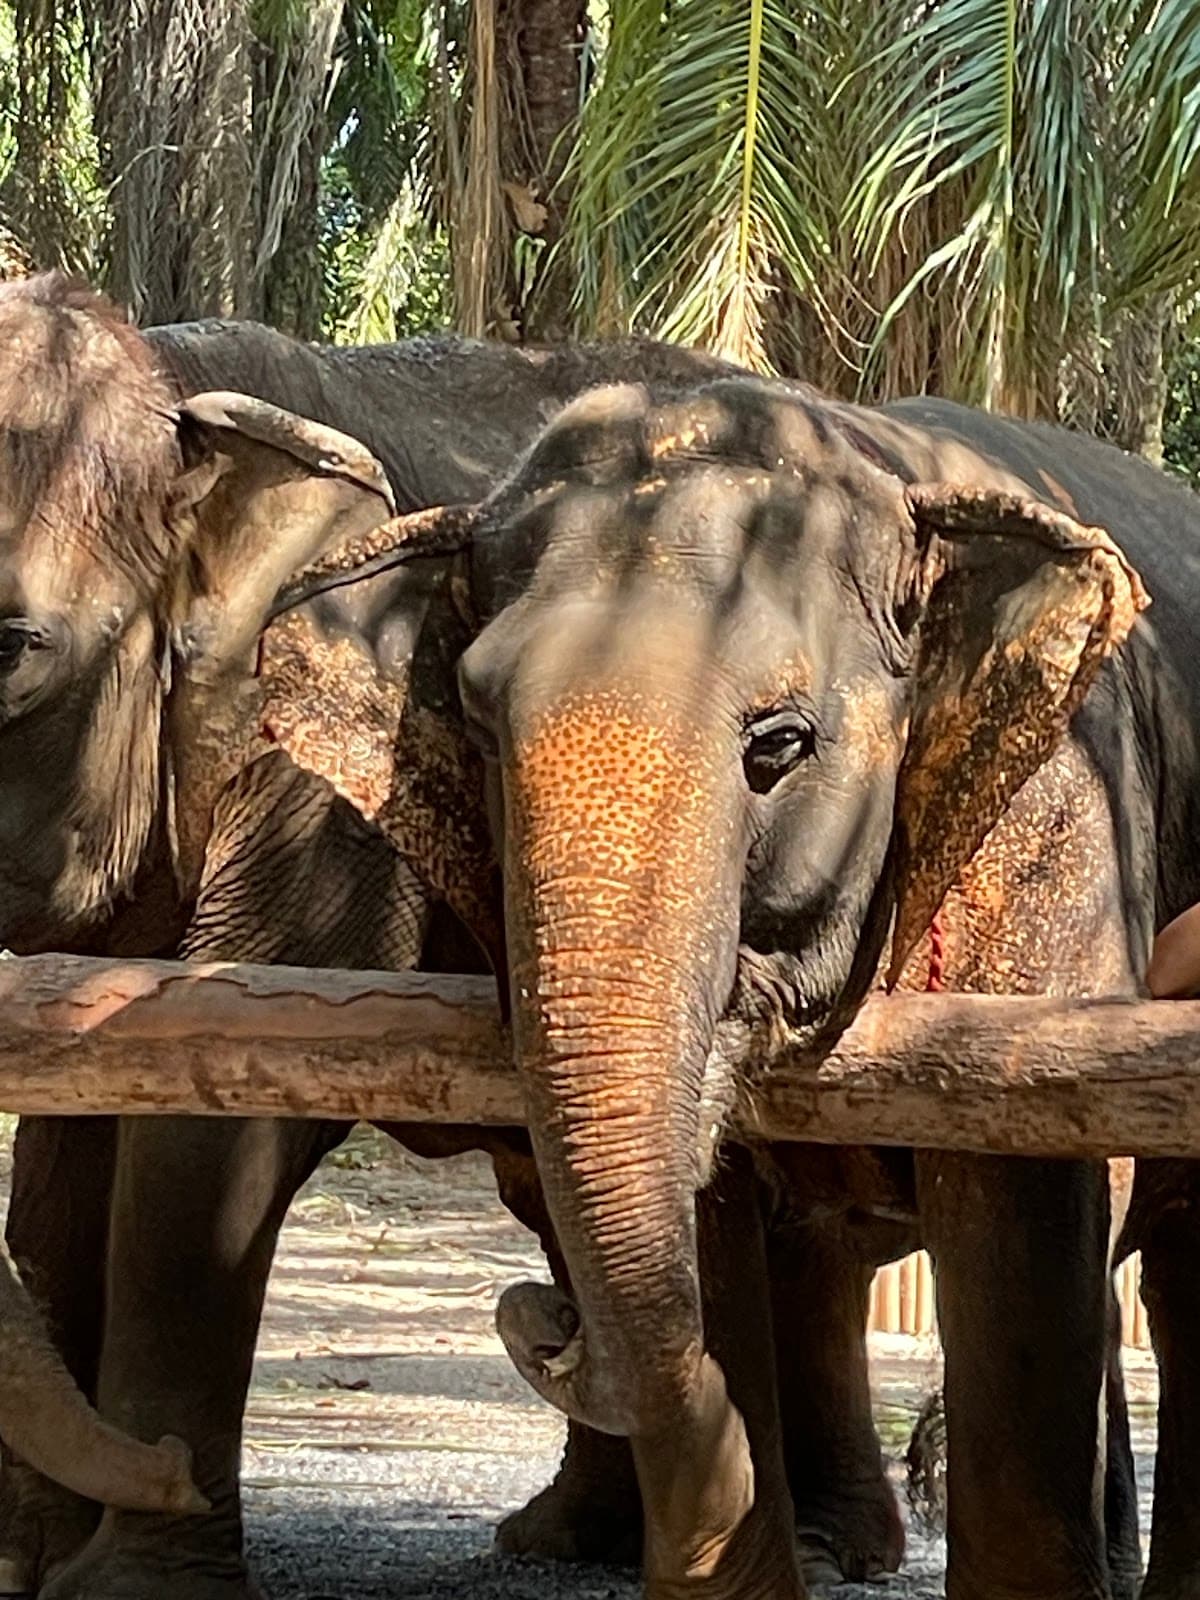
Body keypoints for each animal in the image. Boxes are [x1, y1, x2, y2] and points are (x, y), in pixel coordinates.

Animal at [0, 274, 909, 1599]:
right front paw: (37, 1559)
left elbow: (221, 1106)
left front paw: (125, 1578)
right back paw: (570, 1531)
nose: (158, 1463)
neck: (182, 383)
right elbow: (74, 1133)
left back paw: (833, 1543)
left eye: (9, 650)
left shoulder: (330, 780)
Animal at [278, 372, 1200, 1600]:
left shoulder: (1063, 826)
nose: (539, 1311)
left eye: (780, 744)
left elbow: (1023, 1200)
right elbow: (711, 1231)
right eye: (475, 727)